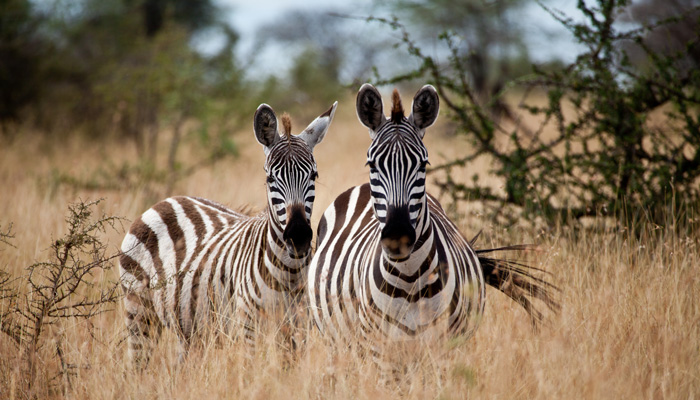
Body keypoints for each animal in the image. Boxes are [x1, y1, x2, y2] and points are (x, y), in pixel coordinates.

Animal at [120, 101, 337, 364]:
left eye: (314, 175)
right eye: (270, 178)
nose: (299, 237)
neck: (288, 273)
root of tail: (166, 201)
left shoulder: (298, 329)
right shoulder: (248, 328)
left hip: (188, 327)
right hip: (139, 311)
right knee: (138, 361)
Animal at [308, 84, 557, 353]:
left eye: (423, 165)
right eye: (372, 165)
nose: (397, 236)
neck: (409, 279)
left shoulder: (445, 347)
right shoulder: (378, 349)